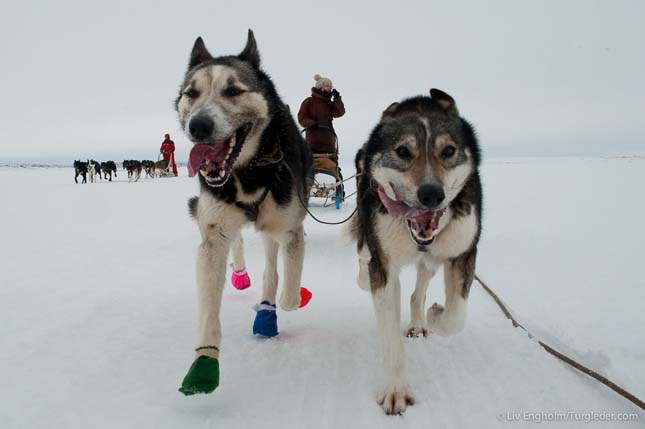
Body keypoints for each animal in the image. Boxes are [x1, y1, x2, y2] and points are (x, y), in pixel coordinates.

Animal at [171, 30, 312, 394]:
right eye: (192, 93)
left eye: (233, 90)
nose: (199, 126)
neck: (248, 173)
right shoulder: (212, 236)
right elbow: (209, 309)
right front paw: (204, 364)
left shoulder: (290, 227)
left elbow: (288, 290)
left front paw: (278, 303)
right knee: (238, 242)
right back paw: (239, 273)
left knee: (271, 264)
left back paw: (266, 308)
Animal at [350, 88, 480, 412]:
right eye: (403, 152)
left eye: (448, 151)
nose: (432, 194)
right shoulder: (383, 267)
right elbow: (390, 338)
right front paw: (396, 390)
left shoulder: (462, 252)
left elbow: (456, 316)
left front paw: (435, 315)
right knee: (365, 257)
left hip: (432, 262)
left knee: (418, 287)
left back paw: (420, 321)